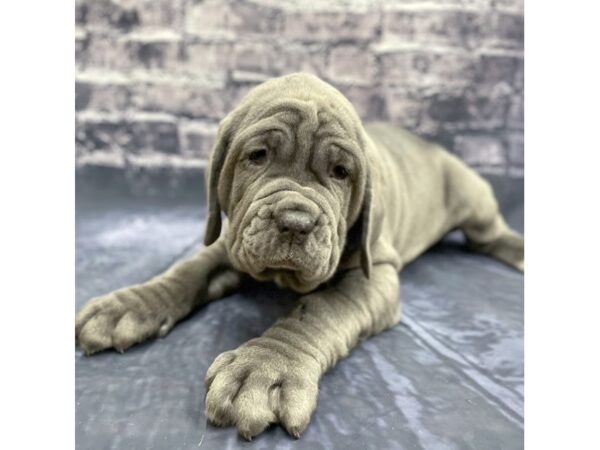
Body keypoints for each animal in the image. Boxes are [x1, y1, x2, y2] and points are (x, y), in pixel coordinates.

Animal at [76, 73, 524, 440]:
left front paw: (266, 369)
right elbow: (190, 268)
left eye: (342, 172)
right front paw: (128, 305)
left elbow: (319, 308)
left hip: (474, 201)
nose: (296, 221)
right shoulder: (233, 239)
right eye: (257, 156)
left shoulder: (374, 270)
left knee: (489, 236)